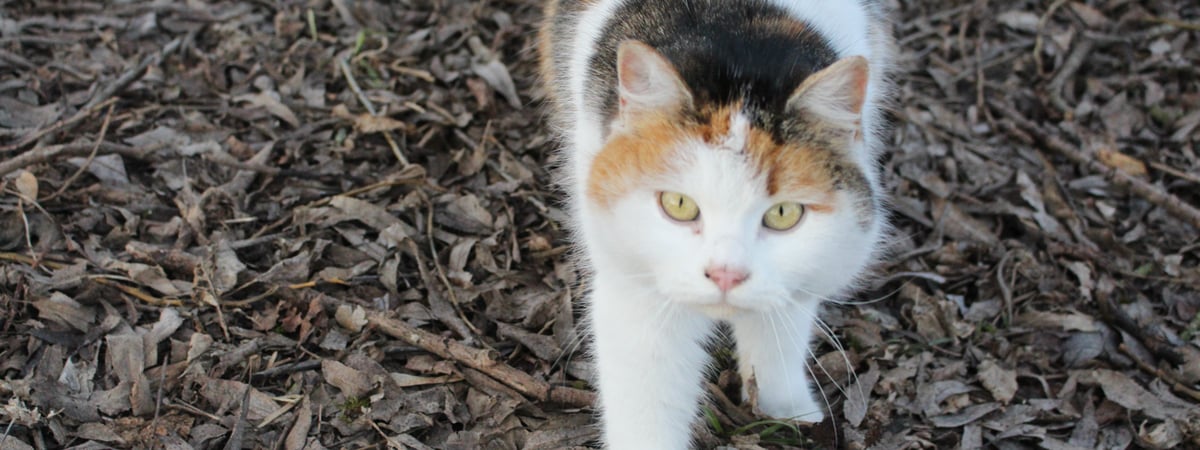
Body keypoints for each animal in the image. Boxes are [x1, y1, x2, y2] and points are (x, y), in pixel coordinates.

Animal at [540, 0, 897, 448]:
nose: (726, 273)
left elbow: (778, 338)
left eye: (783, 214)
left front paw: (790, 411)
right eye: (678, 205)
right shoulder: (634, 285)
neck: (739, 46)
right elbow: (647, 402)